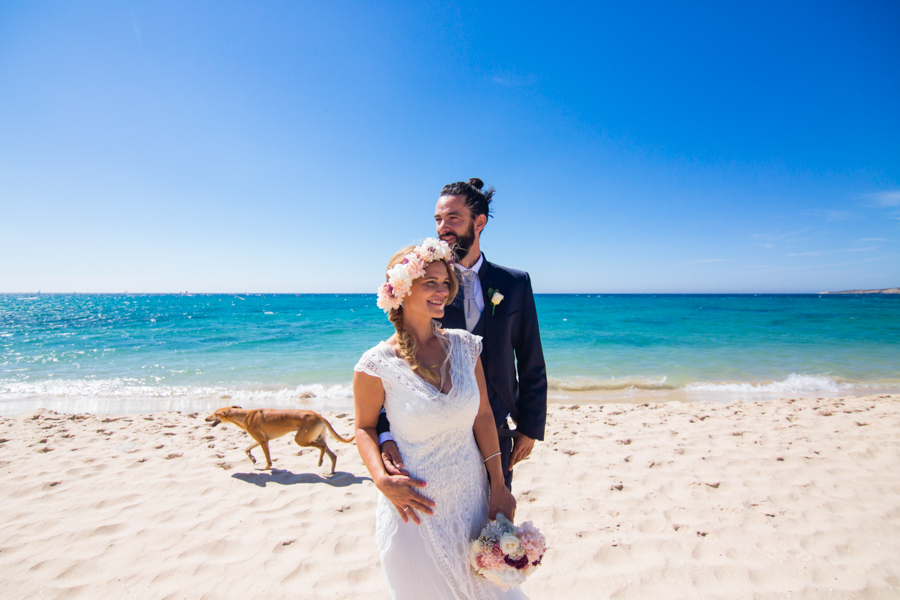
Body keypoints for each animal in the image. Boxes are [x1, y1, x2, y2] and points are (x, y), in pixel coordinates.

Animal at [207, 408, 356, 474]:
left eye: (215, 414)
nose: (205, 418)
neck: (246, 416)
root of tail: (318, 415)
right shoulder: (262, 439)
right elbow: (247, 448)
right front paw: (252, 458)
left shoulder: (263, 442)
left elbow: (268, 460)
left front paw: (265, 468)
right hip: (317, 437)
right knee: (333, 455)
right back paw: (331, 472)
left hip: (301, 440)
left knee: (322, 448)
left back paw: (320, 462)